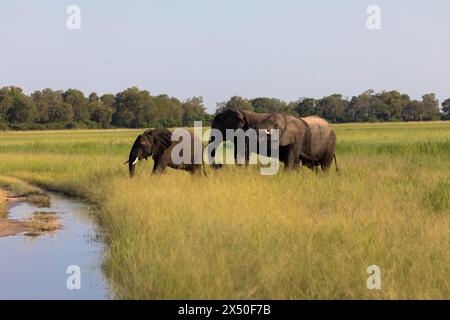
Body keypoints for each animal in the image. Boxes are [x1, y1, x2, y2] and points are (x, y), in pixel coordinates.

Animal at [207, 109, 338, 171]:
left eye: (219, 126)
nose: (220, 165)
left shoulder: (297, 138)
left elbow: (290, 160)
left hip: (330, 143)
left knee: (325, 166)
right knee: (312, 166)